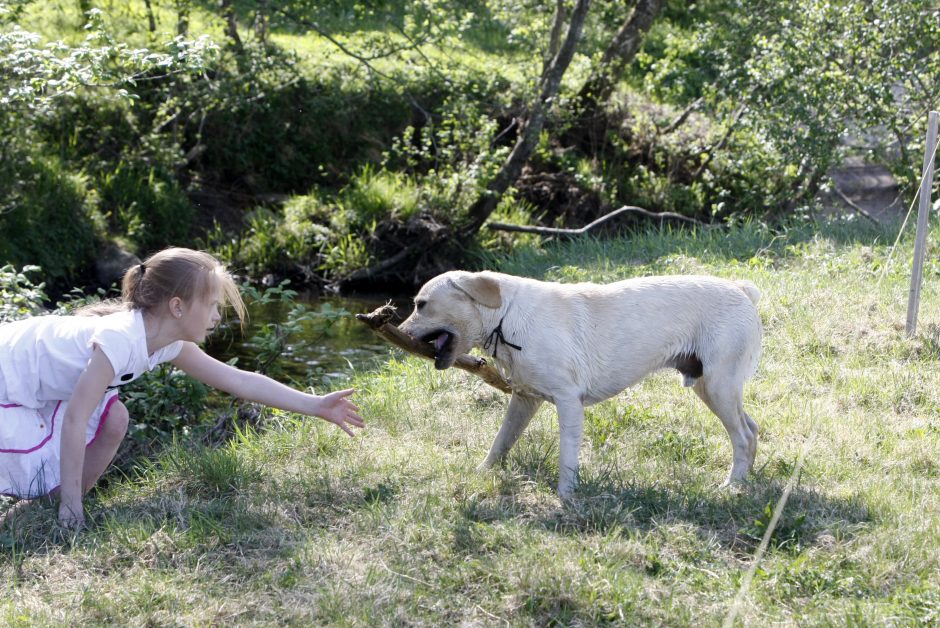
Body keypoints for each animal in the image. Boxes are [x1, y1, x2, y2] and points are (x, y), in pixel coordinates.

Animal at [398, 272, 764, 498]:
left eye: (421, 304)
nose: (398, 330)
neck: (505, 317)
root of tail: (742, 290)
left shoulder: (568, 401)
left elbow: (567, 455)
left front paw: (565, 495)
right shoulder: (523, 399)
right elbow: (501, 442)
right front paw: (482, 472)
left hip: (718, 385)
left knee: (743, 436)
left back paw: (731, 486)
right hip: (711, 387)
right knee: (752, 428)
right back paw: (745, 479)